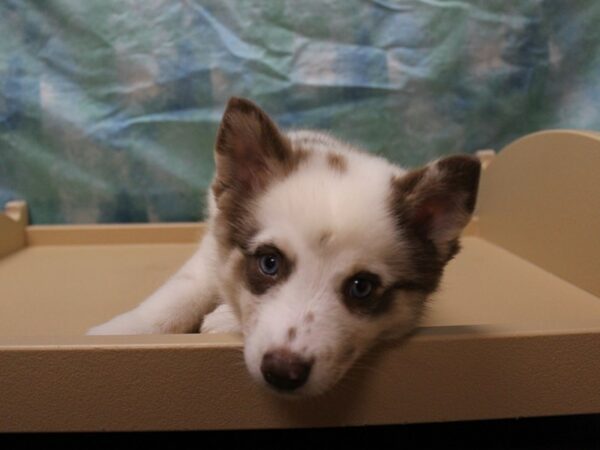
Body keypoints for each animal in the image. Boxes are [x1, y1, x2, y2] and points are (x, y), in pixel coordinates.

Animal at [90, 96, 482, 396]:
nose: (282, 373)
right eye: (269, 263)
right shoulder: (212, 249)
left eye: (361, 287)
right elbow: (177, 296)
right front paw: (120, 332)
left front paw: (222, 319)